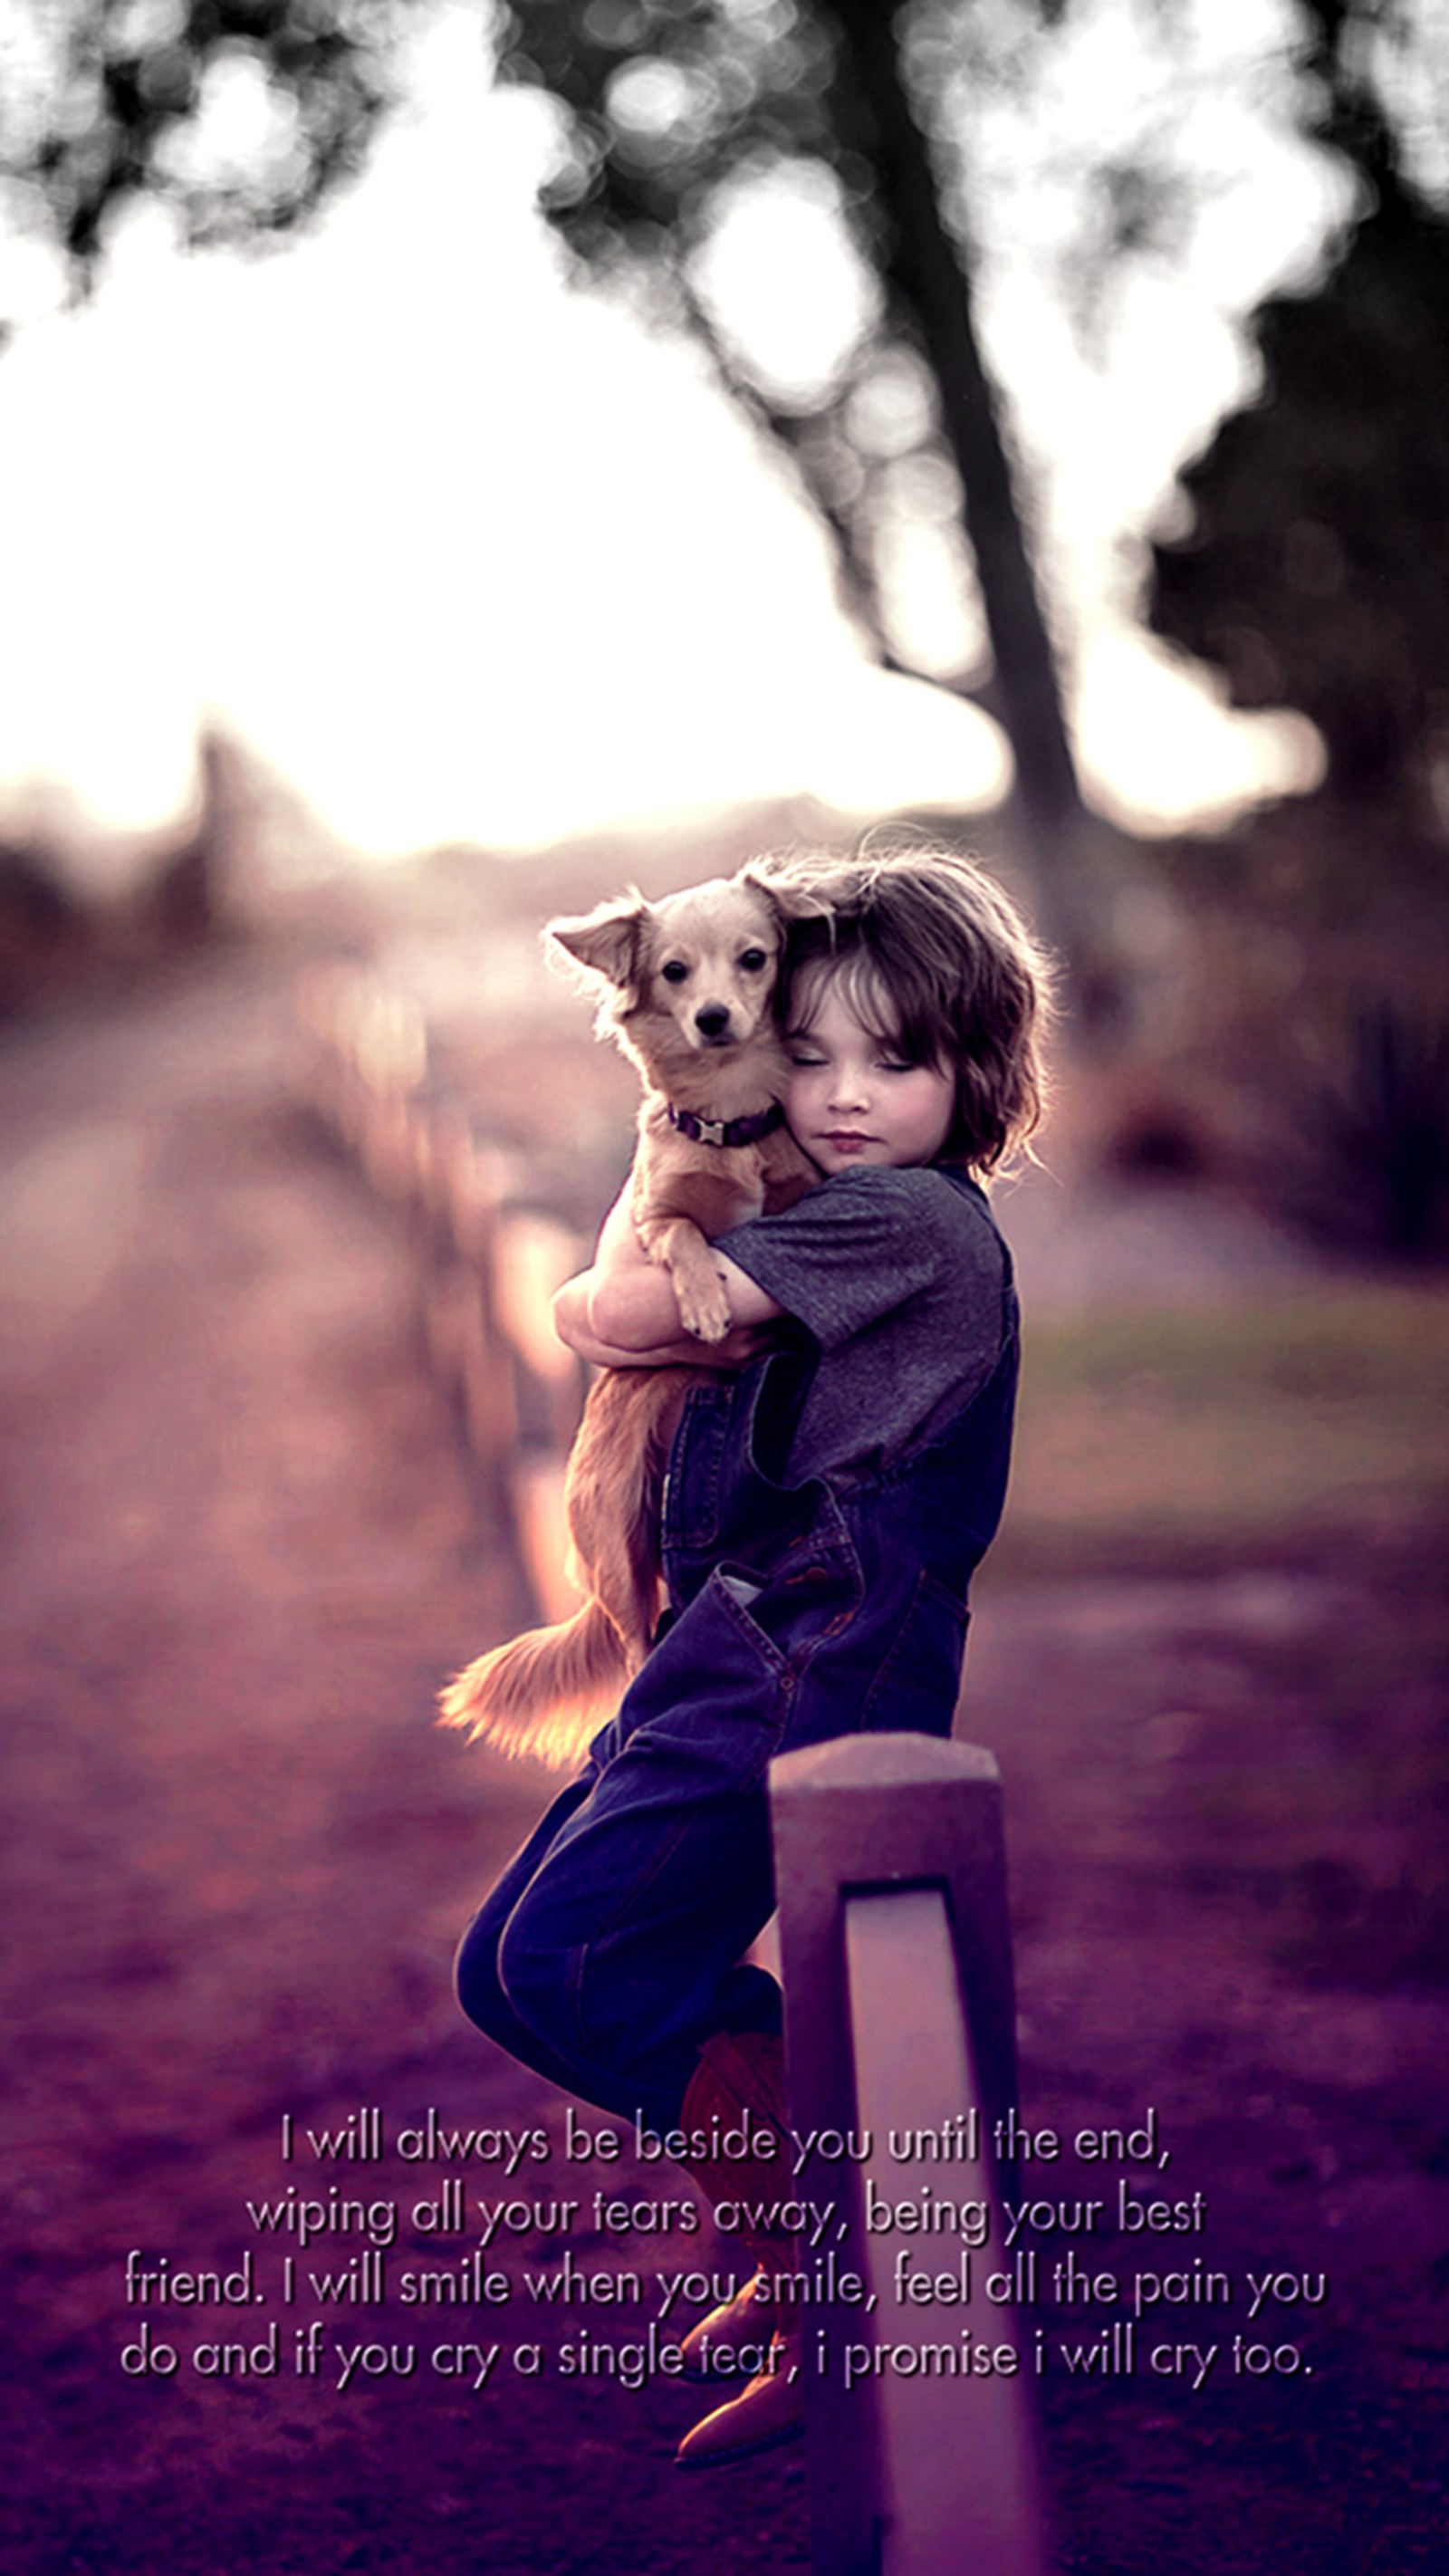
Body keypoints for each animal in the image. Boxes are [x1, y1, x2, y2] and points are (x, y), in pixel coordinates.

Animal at [442, 870, 823, 1772]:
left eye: (753, 959)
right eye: (674, 972)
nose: (713, 1017)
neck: (727, 1121)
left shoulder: (798, 1185)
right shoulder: (653, 1219)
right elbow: (684, 1234)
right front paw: (707, 1302)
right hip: (615, 1532)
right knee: (630, 1646)